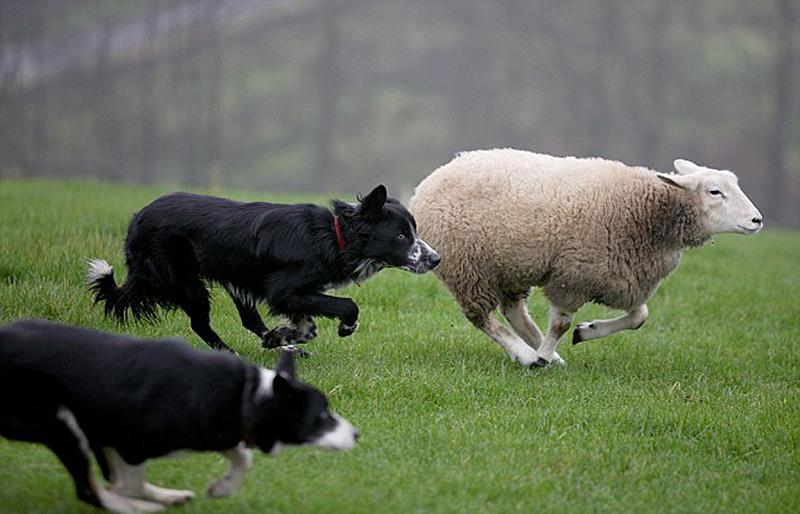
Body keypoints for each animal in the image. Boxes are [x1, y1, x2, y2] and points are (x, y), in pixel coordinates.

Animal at [0, 318, 356, 510]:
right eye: (321, 415)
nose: (357, 433)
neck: (246, 396)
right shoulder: (129, 440)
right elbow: (126, 482)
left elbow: (242, 457)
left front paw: (221, 488)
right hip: (59, 424)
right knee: (89, 490)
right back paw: (139, 507)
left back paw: (167, 497)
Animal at [89, 185, 438, 352]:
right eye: (401, 236)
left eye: (414, 231)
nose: (436, 259)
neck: (334, 235)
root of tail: (137, 220)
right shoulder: (284, 291)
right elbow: (347, 304)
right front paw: (344, 326)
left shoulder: (293, 294)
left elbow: (306, 322)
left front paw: (285, 335)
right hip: (184, 279)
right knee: (200, 323)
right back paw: (230, 354)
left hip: (234, 281)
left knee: (248, 319)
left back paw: (280, 344)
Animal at [410, 148, 764, 364]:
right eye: (714, 191)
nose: (757, 220)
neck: (648, 213)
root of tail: (428, 182)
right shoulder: (573, 276)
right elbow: (560, 324)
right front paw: (543, 355)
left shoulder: (622, 277)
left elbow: (640, 317)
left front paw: (585, 332)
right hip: (468, 267)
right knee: (480, 316)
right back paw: (526, 355)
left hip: (510, 264)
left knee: (514, 311)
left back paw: (544, 353)